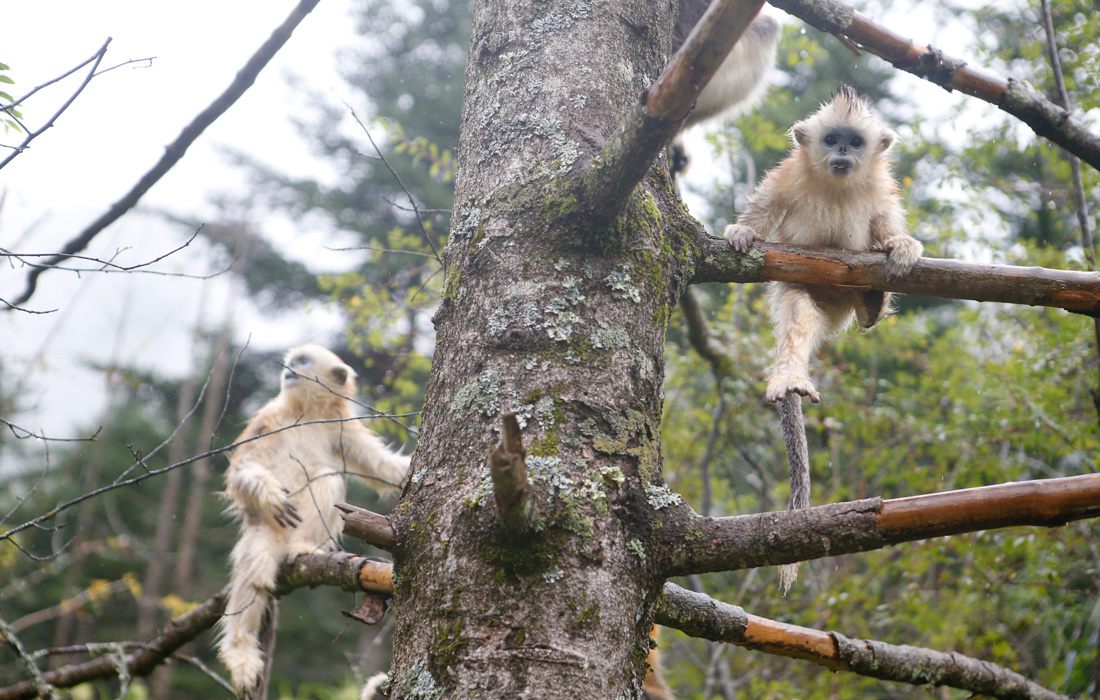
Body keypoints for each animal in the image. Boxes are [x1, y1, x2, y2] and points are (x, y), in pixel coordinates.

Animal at [721, 86, 919, 589]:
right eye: (831, 139)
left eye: (854, 140)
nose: (843, 152)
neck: (837, 186)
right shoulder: (785, 178)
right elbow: (762, 211)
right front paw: (742, 229)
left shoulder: (881, 191)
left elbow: (886, 223)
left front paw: (901, 245)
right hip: (803, 288)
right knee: (800, 315)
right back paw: (790, 376)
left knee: (865, 315)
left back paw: (872, 301)